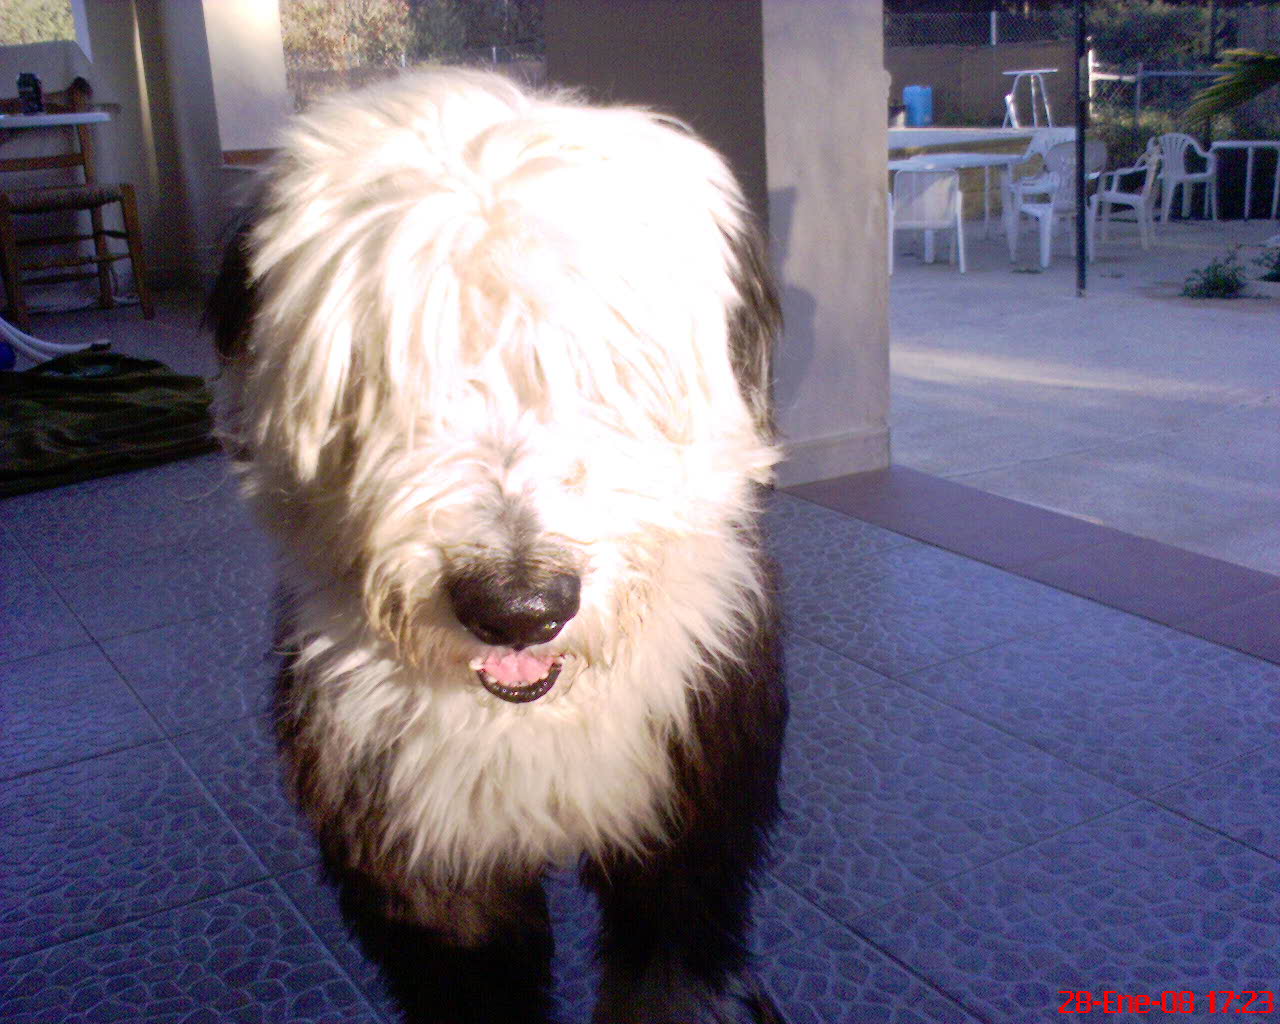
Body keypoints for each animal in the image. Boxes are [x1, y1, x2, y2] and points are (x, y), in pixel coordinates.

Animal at [209, 69, 787, 1024]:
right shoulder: (422, 854)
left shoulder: (689, 824)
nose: (519, 609)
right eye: (388, 372)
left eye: (602, 368)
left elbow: (668, 974)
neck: (531, 718)